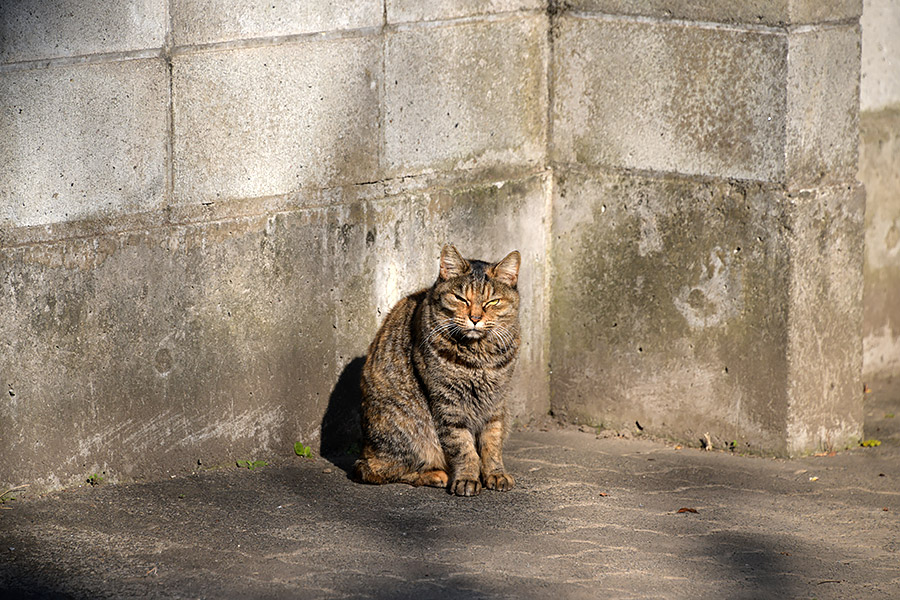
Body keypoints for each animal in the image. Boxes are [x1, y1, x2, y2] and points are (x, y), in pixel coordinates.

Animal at [354, 244, 520, 496]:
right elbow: (462, 446)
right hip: (409, 430)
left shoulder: (496, 401)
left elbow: (492, 442)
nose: (475, 318)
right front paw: (467, 477)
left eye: (492, 302)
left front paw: (495, 473)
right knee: (372, 469)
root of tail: (365, 446)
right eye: (461, 298)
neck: (479, 354)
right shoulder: (447, 402)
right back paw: (436, 475)